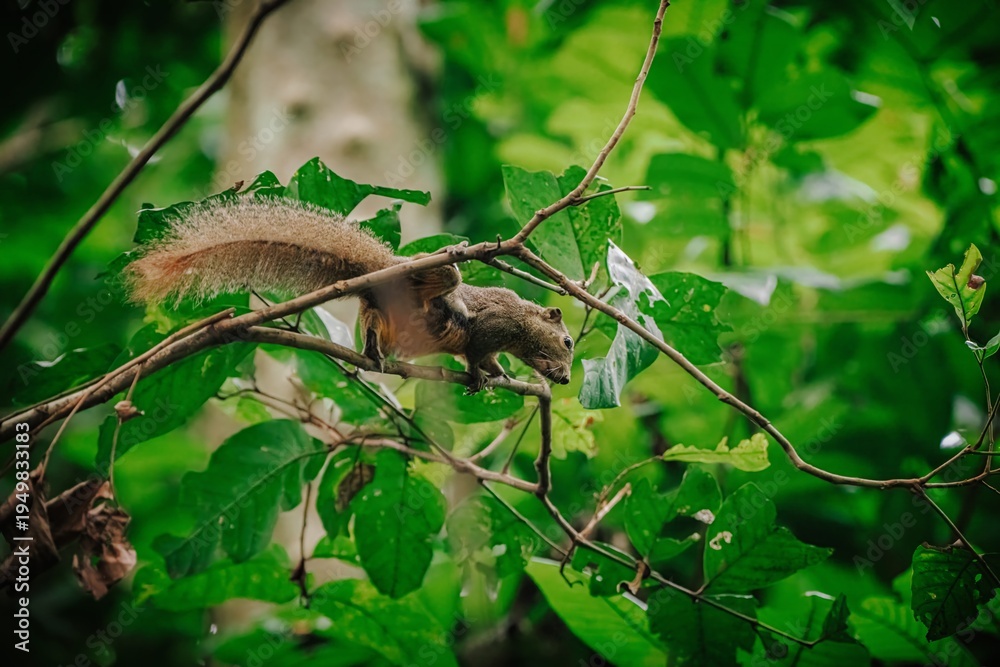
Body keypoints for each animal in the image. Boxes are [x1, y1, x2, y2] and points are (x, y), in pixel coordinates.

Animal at [124, 197, 574, 391]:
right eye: (568, 341)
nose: (567, 379)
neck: (521, 328)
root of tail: (381, 273)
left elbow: (487, 358)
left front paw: (501, 375)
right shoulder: (492, 325)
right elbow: (477, 351)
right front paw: (483, 374)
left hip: (379, 313)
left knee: (372, 325)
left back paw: (374, 353)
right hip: (435, 281)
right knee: (445, 276)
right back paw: (447, 254)